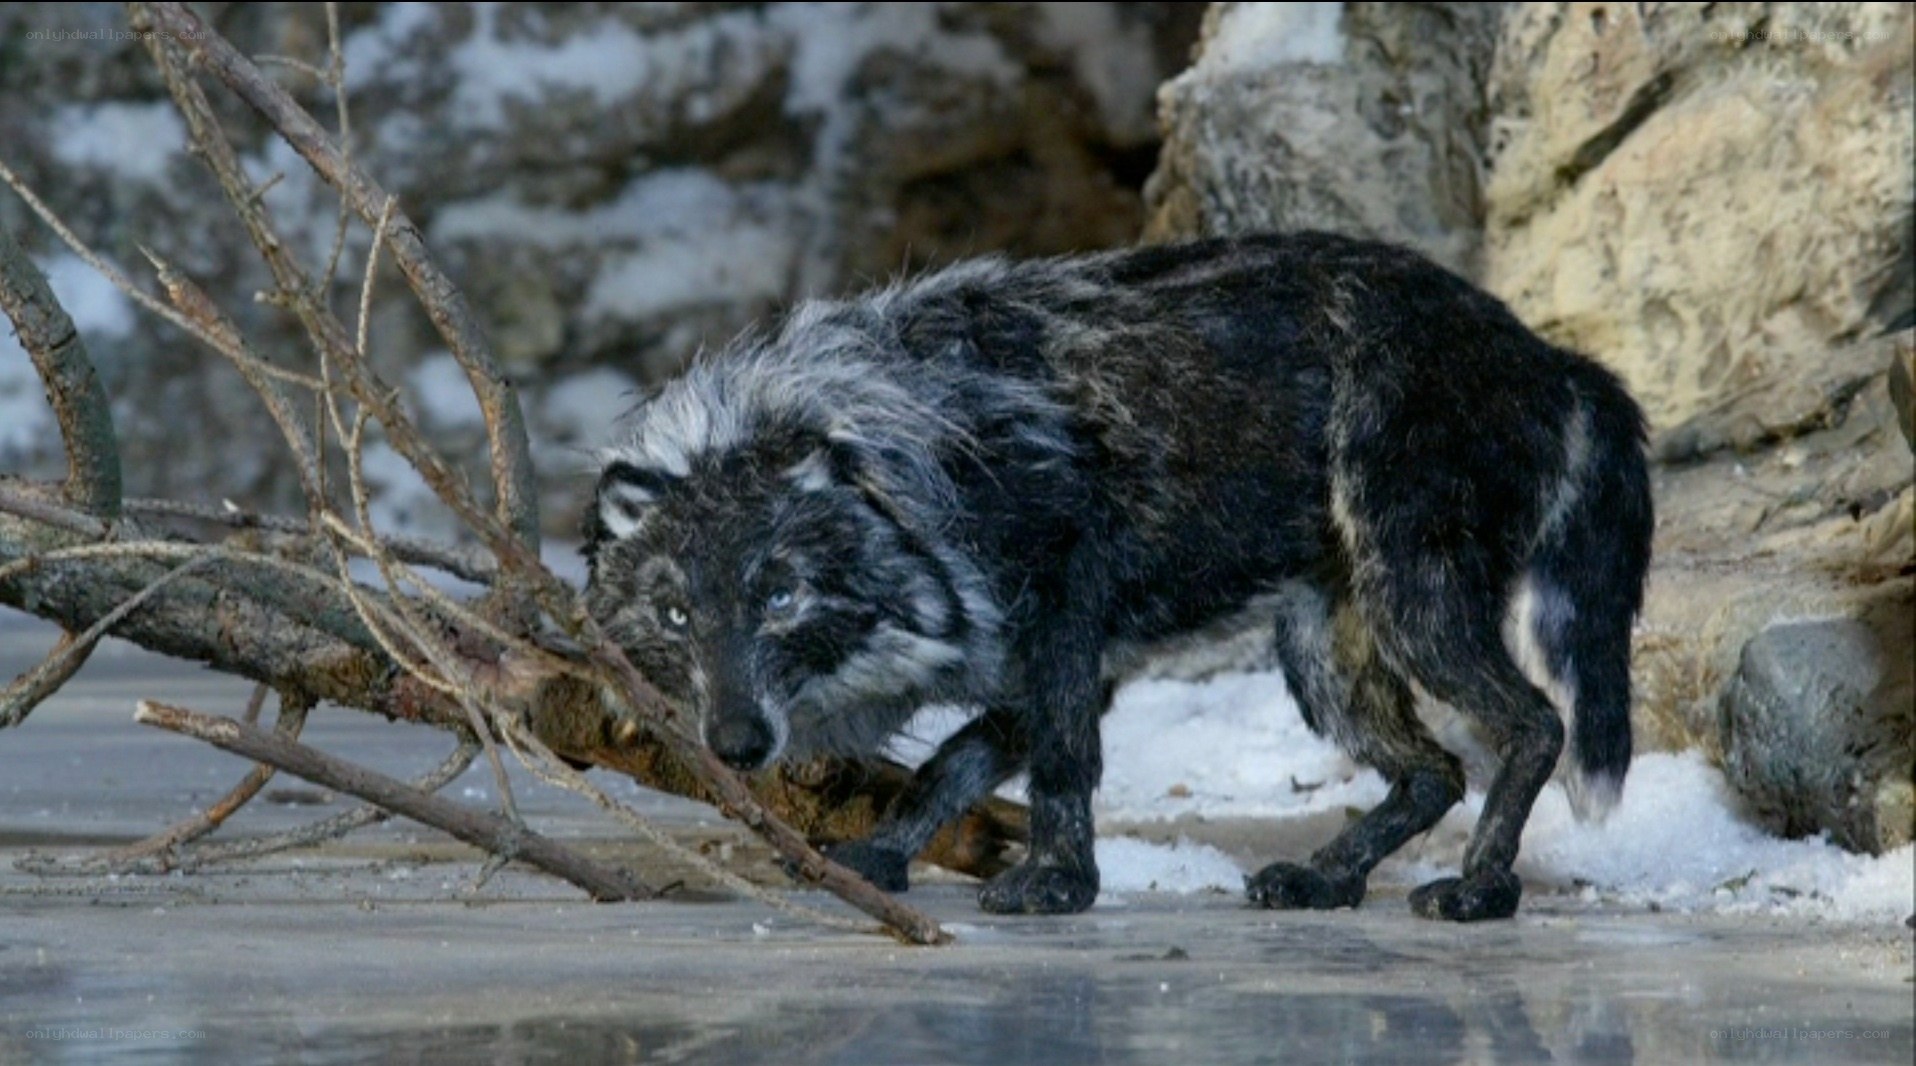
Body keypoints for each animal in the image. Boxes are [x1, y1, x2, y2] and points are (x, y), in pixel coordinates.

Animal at [582, 232, 1654, 921]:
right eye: (673, 613)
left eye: (780, 594)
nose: (735, 744)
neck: (916, 447)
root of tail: (1549, 357)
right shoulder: (1037, 664)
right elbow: (947, 766)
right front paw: (880, 856)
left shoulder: (1062, 622)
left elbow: (1060, 767)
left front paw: (1057, 888)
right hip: (1321, 653)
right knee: (1432, 771)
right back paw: (1323, 880)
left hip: (1410, 600)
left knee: (1534, 724)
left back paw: (1480, 890)